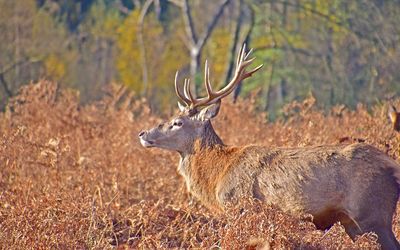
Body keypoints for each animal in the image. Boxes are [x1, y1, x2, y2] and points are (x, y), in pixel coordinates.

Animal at [139, 45, 400, 250]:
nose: (142, 133)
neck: (218, 175)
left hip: (371, 214)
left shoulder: (241, 207)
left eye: (177, 122)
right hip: (355, 222)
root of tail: (392, 166)